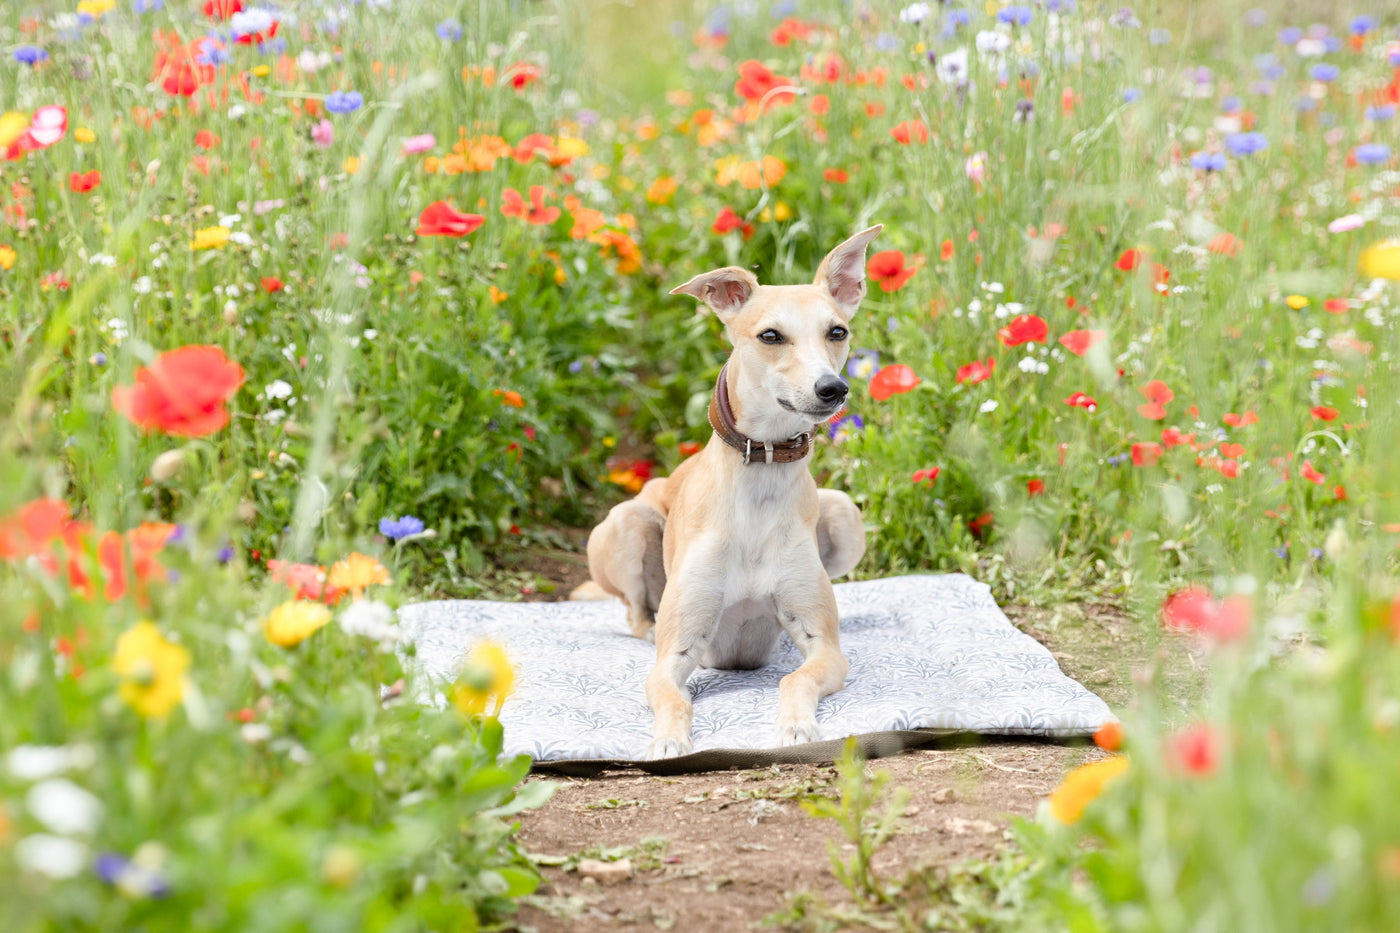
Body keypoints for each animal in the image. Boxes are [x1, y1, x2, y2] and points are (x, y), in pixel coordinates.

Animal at [579, 225, 873, 756]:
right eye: (770, 335)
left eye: (837, 331)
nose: (833, 388)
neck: (761, 477)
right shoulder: (674, 656)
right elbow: (673, 696)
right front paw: (668, 742)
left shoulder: (826, 649)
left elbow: (795, 678)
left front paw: (796, 727)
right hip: (628, 523)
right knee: (634, 612)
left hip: (843, 515)